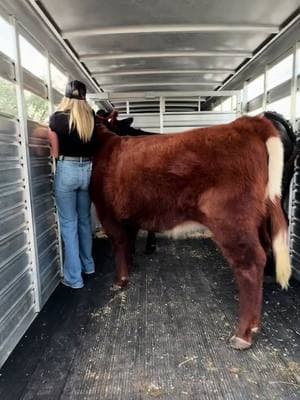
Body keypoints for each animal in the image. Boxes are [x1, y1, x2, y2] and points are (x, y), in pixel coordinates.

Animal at [91, 115, 290, 350]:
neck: (107, 145)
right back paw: (255, 324)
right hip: (256, 220)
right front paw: (130, 268)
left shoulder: (108, 213)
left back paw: (243, 334)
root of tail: (244, 122)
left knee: (250, 263)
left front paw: (120, 280)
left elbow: (120, 244)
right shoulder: (130, 216)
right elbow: (128, 243)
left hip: (232, 219)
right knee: (264, 251)